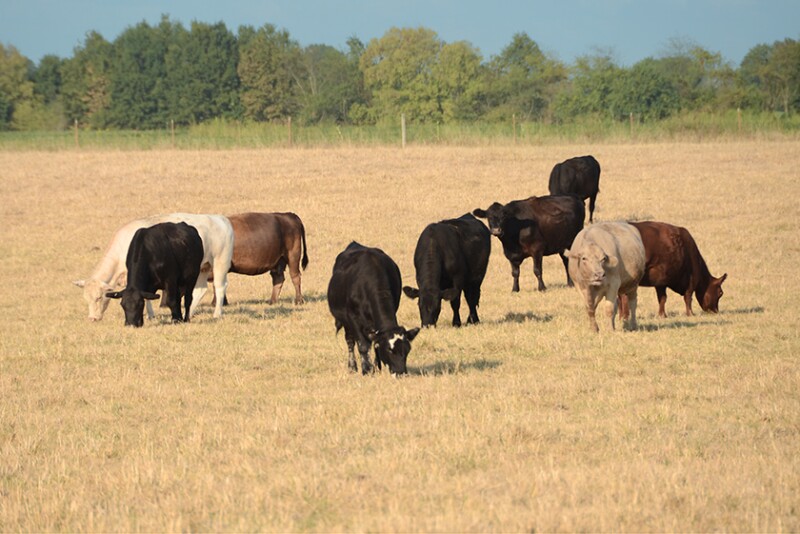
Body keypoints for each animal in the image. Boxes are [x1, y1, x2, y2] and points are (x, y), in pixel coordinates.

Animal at [73, 213, 234, 321]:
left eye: (99, 297)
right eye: (86, 299)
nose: (92, 318)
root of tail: (221, 219)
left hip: (220, 263)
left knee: (220, 287)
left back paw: (217, 314)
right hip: (202, 268)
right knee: (200, 289)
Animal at [327, 242, 420, 375]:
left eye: (407, 350)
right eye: (389, 350)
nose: (401, 373)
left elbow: (375, 343)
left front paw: (376, 367)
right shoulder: (353, 318)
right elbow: (362, 345)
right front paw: (366, 369)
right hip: (345, 322)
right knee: (350, 341)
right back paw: (352, 367)